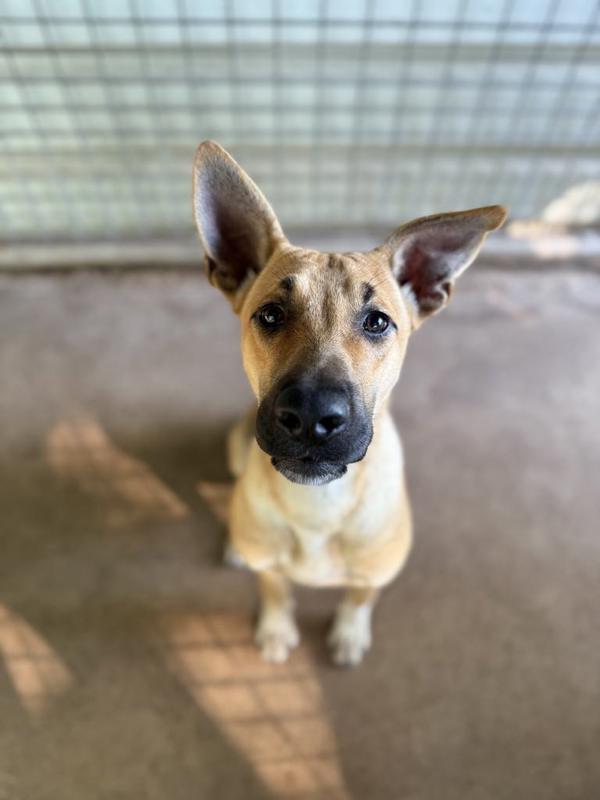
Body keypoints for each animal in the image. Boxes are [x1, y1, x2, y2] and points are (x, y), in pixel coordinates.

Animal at [193, 141, 506, 666]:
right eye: (271, 315)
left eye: (377, 321)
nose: (310, 417)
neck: (319, 504)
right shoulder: (269, 567)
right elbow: (274, 587)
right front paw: (275, 628)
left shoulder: (376, 573)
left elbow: (360, 597)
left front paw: (348, 633)